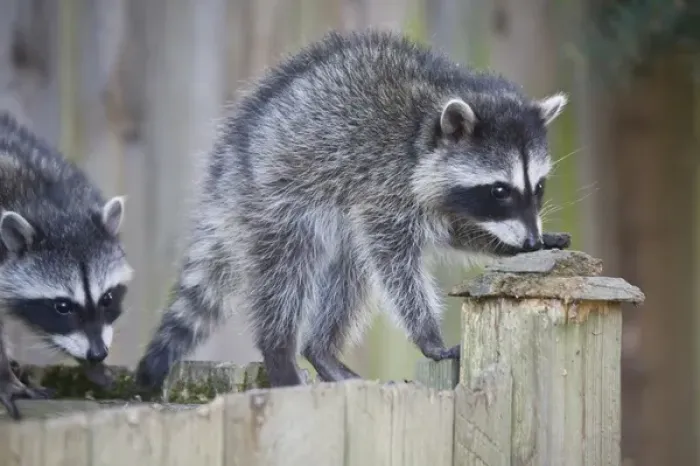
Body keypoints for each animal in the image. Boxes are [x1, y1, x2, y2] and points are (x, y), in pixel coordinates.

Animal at [0, 112, 132, 419]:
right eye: (62, 306)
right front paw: (5, 381)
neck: (51, 209)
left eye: (107, 298)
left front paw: (93, 366)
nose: (97, 354)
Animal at [135, 29, 569, 390]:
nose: (530, 242)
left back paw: (321, 351)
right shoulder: (384, 189)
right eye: (500, 190)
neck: (426, 124)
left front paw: (506, 241)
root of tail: (230, 161)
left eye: (538, 187)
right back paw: (280, 353)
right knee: (286, 273)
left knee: (349, 272)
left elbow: (453, 230)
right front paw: (427, 333)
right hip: (275, 198)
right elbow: (395, 265)